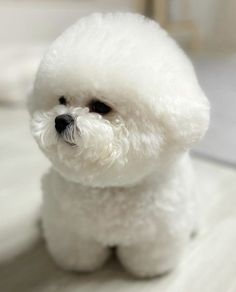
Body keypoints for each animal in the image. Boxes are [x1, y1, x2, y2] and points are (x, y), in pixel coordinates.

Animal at [28, 13, 210, 278]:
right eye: (61, 100)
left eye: (101, 106)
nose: (61, 120)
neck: (112, 188)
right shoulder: (71, 230)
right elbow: (78, 252)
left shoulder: (156, 235)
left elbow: (149, 258)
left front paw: (148, 272)